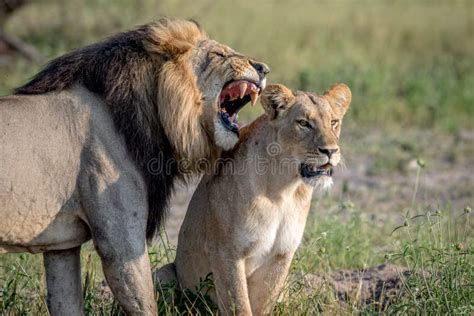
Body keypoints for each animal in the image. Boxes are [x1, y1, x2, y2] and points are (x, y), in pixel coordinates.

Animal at [0, 18, 266, 314]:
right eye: (218, 54)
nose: (263, 68)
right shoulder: (121, 244)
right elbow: (145, 303)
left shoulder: (61, 246)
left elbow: (66, 302)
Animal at [156, 82, 352, 314]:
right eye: (303, 123)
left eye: (334, 122)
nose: (331, 151)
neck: (283, 189)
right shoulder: (227, 252)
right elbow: (239, 305)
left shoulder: (281, 255)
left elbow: (263, 304)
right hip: (163, 275)